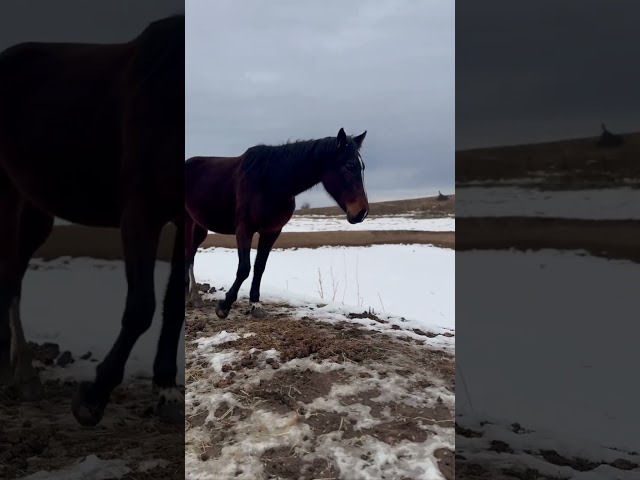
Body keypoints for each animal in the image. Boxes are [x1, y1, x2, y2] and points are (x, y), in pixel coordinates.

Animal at [0, 15, 185, 428]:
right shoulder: (140, 214)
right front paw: (93, 397)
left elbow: (175, 302)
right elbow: (141, 308)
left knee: (12, 276)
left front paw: (166, 390)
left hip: (33, 209)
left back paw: (20, 375)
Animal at [185, 127, 368, 316]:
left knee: (189, 255)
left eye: (362, 167)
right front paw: (224, 305)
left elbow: (259, 267)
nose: (361, 212)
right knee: (188, 255)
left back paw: (192, 296)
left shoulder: (272, 231)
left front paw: (255, 304)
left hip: (199, 227)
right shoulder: (244, 229)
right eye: (349, 166)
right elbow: (244, 268)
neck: (270, 181)